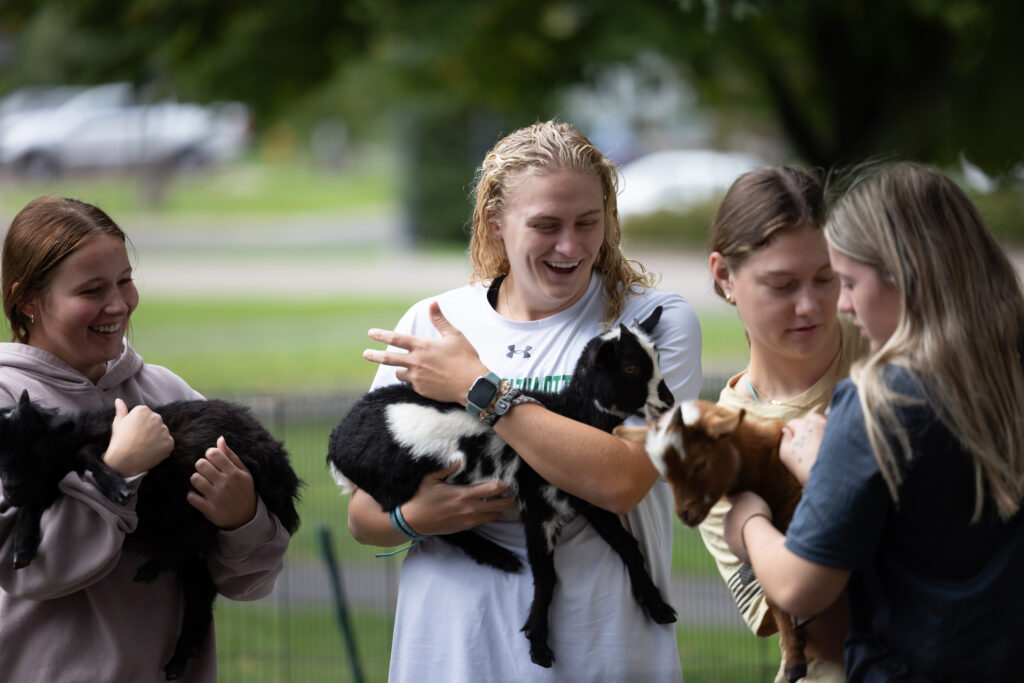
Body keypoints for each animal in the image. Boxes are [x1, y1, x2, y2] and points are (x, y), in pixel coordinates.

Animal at [0, 393, 303, 679]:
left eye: (33, 445)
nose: (10, 489)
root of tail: (283, 467)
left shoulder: (96, 441)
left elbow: (83, 455)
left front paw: (119, 488)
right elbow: (31, 504)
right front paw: (22, 549)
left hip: (212, 470)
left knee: (205, 529)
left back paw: (152, 567)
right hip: (197, 555)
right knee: (199, 597)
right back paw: (178, 660)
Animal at [329, 305, 679, 667]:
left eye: (657, 358)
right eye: (630, 367)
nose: (668, 401)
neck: (572, 414)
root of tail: (336, 443)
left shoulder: (587, 493)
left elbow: (629, 546)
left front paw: (659, 608)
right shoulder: (538, 502)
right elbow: (547, 575)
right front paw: (538, 645)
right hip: (398, 482)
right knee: (441, 527)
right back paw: (501, 558)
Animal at [610, 401, 811, 683]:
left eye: (700, 464)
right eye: (664, 474)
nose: (685, 515)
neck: (771, 466)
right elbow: (775, 596)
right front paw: (794, 660)